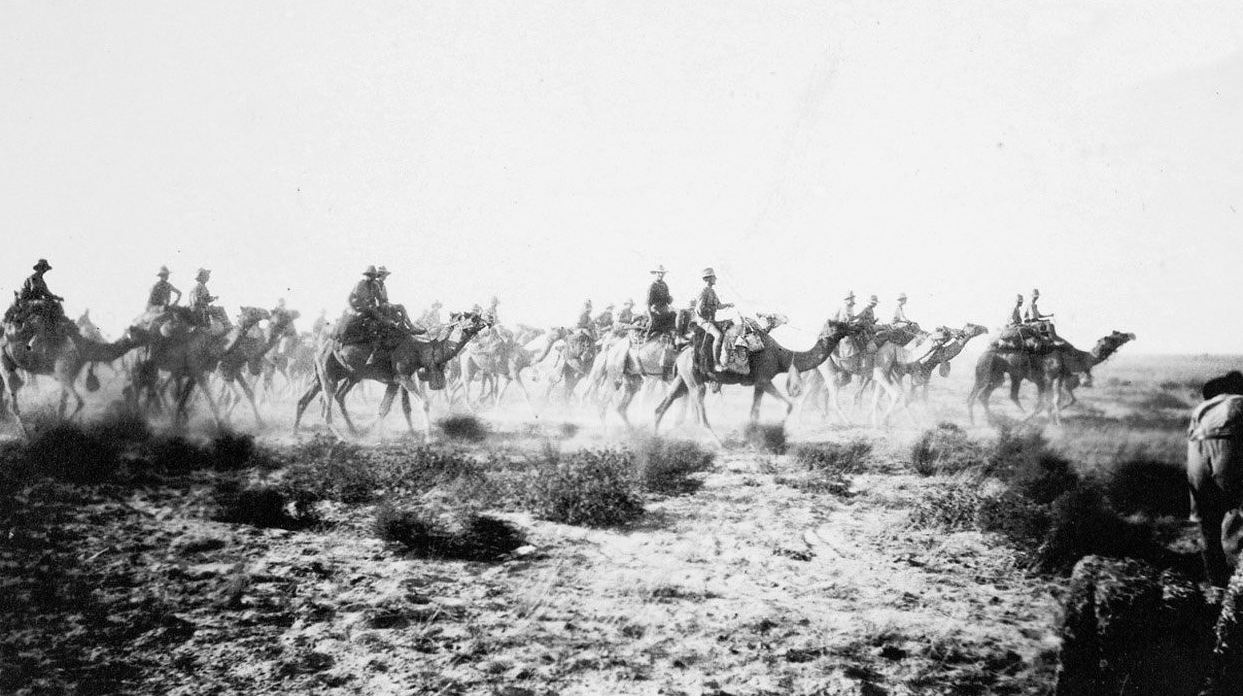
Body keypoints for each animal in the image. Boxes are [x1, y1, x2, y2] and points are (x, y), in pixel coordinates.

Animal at [0, 323, 141, 434]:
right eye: (141, 332)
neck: (83, 349)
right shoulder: (64, 373)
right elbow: (80, 402)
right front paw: (58, 428)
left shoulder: (68, 376)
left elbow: (63, 405)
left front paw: (59, 425)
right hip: (4, 363)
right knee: (13, 399)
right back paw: (26, 436)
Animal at [293, 310, 492, 439]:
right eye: (471, 317)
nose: (488, 320)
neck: (420, 350)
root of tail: (319, 346)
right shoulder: (403, 376)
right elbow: (423, 403)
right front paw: (428, 437)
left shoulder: (396, 380)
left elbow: (389, 408)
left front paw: (379, 433)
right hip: (328, 373)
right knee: (325, 405)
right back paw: (342, 437)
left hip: (340, 374)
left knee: (313, 398)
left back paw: (298, 432)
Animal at [651, 320, 865, 439]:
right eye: (840, 325)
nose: (856, 326)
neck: (782, 356)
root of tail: (681, 354)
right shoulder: (764, 379)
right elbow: (788, 405)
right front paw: (778, 428)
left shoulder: (758, 384)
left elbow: (754, 412)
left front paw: (753, 435)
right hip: (694, 379)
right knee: (698, 404)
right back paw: (717, 442)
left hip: (682, 377)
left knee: (663, 404)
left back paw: (653, 438)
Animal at [969, 330, 1138, 425]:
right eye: (1114, 337)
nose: (1131, 335)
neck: (1071, 357)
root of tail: (984, 352)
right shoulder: (1049, 377)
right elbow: (1050, 401)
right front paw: (1056, 424)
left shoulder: (1056, 377)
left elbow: (1052, 401)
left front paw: (1050, 420)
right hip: (988, 369)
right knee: (978, 394)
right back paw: (981, 422)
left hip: (1001, 374)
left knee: (987, 395)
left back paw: (992, 421)